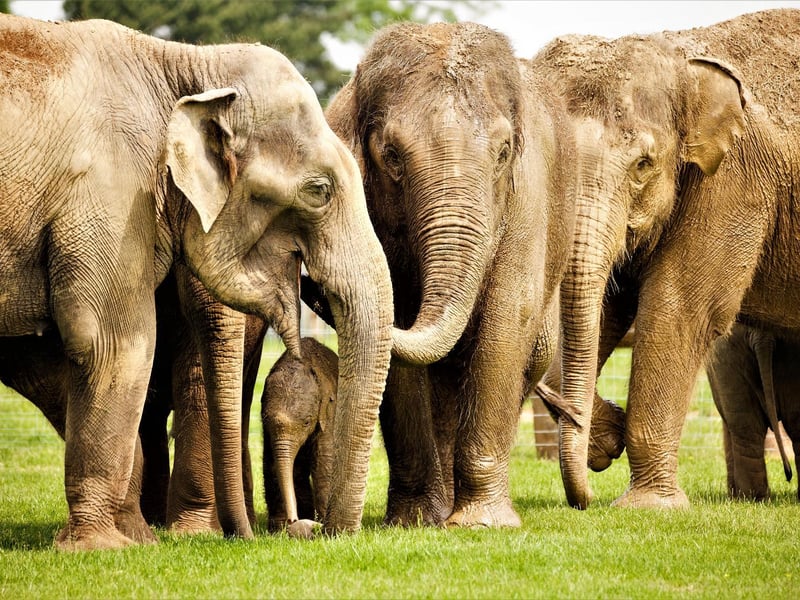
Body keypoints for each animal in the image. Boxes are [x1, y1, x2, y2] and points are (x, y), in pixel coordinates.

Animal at [261, 337, 338, 539]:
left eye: (306, 422)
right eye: (264, 418)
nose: (293, 520)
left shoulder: (329, 413)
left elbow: (324, 461)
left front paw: (322, 523)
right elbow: (271, 463)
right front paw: (277, 529)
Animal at [322, 22, 575, 528]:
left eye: (503, 153)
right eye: (391, 156)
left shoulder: (530, 193)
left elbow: (508, 317)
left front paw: (483, 524)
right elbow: (396, 320)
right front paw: (416, 521)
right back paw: (439, 512)